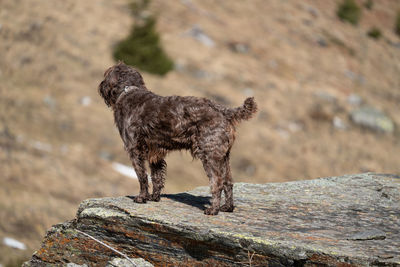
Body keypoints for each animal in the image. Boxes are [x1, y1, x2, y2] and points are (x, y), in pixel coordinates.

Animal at [98, 62, 258, 216]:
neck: (128, 90)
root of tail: (223, 110)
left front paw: (141, 198)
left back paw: (213, 210)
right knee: (228, 182)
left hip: (209, 155)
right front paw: (154, 197)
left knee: (217, 183)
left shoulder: (134, 149)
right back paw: (227, 207)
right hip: (224, 156)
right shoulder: (155, 154)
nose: (100, 86)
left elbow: (142, 176)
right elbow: (156, 177)